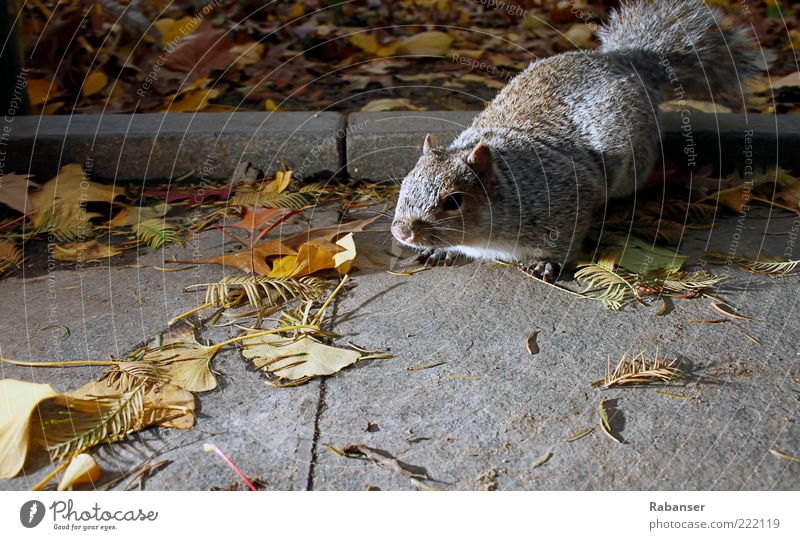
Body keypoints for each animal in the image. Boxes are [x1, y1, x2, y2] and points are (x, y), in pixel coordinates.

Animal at [390, 0, 760, 280]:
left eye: (454, 201)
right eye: (404, 184)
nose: (402, 232)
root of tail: (622, 60)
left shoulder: (568, 196)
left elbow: (566, 239)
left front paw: (546, 262)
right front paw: (438, 251)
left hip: (632, 164)